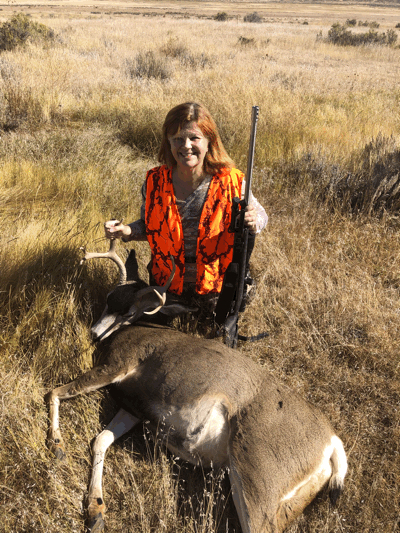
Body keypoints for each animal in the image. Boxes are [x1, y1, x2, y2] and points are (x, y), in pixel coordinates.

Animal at [46, 239, 346, 528]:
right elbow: (100, 440)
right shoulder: (133, 406)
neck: (137, 329)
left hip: (257, 472)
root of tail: (333, 442)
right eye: (109, 298)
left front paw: (57, 446)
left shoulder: (117, 364)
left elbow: (54, 392)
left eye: (130, 313)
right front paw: (95, 510)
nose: (94, 334)